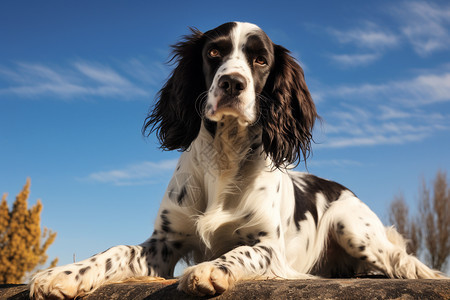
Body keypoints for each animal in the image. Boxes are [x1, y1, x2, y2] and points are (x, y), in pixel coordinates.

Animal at [29, 22, 444, 298]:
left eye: (260, 60)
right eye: (214, 53)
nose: (232, 83)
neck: (224, 158)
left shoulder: (268, 247)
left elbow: (240, 252)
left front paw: (211, 269)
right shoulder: (164, 243)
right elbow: (115, 251)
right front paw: (64, 274)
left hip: (352, 226)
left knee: (402, 263)